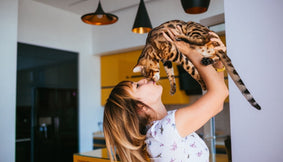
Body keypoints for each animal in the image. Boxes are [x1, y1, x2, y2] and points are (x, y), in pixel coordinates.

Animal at [133, 19, 262, 110]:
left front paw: (204, 85)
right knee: (214, 54)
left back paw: (181, 37)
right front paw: (173, 88)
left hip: (192, 28)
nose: (153, 81)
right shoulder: (167, 61)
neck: (151, 46)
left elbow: (192, 70)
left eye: (149, 74)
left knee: (204, 38)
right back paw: (207, 60)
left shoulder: (177, 55)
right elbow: (170, 75)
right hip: (206, 49)